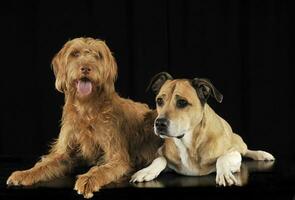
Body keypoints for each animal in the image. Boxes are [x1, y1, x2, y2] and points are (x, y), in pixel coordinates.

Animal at [6, 36, 162, 198]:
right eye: (74, 54)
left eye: (98, 55)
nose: (86, 68)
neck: (87, 109)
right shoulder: (65, 153)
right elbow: (44, 165)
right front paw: (24, 173)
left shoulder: (117, 157)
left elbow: (101, 169)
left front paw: (88, 180)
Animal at [132, 72, 276, 186]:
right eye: (159, 101)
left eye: (182, 102)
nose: (159, 123)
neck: (189, 143)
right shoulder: (160, 152)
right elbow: (160, 158)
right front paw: (146, 171)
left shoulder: (234, 154)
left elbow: (223, 158)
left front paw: (224, 174)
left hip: (238, 141)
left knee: (245, 150)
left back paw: (262, 154)